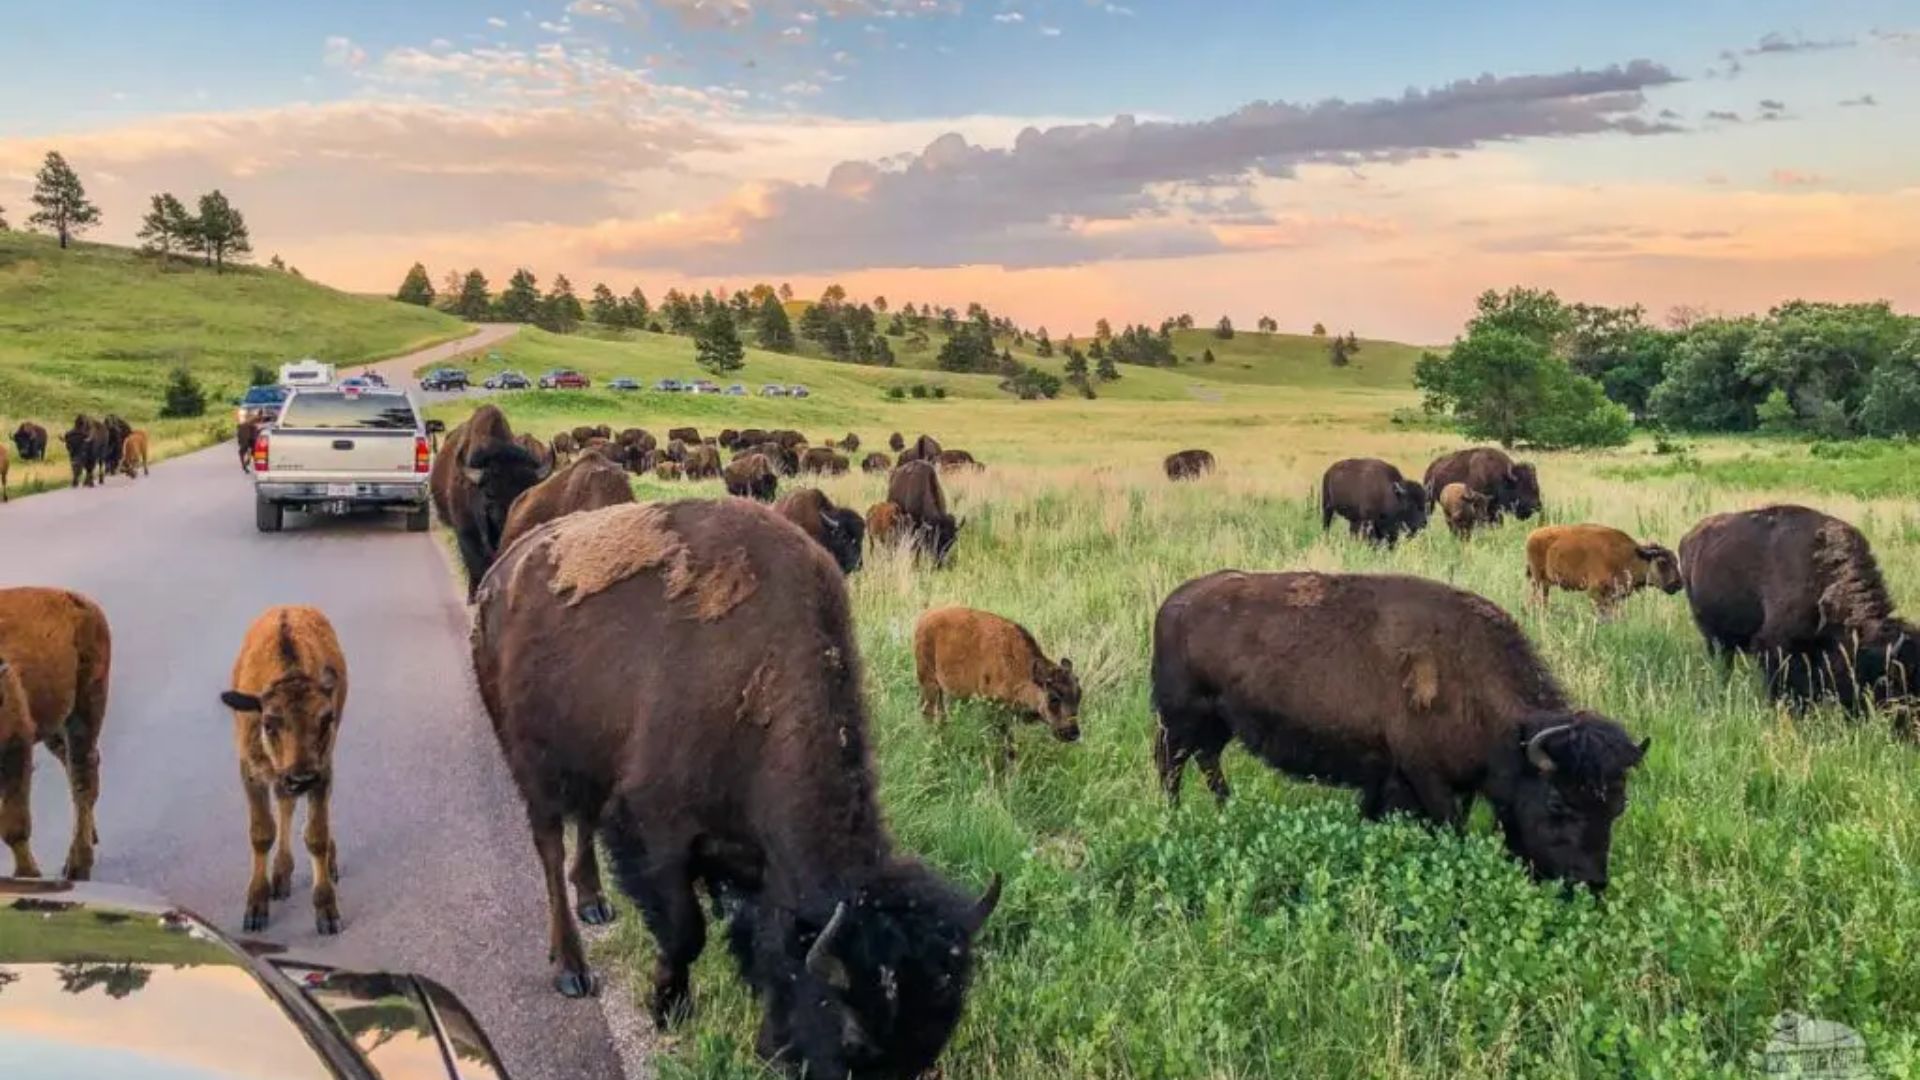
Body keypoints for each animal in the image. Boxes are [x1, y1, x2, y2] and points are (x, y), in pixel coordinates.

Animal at [471, 500, 999, 1079]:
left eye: (935, 1040)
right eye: (852, 1034)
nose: (788, 1059)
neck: (759, 684)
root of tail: (499, 574)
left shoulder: (749, 858)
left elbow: (755, 936)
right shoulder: (653, 830)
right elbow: (686, 930)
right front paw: (669, 1007)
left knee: (581, 826)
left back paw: (594, 903)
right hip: (530, 765)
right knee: (548, 847)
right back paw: (571, 967)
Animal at [1153, 571, 1647, 889]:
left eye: (1618, 806)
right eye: (1558, 802)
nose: (1591, 884)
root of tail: (1175, 602)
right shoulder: (1426, 779)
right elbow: (1450, 827)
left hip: (1217, 724)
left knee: (1207, 760)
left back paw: (1225, 808)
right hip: (1181, 720)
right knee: (1172, 766)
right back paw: (1175, 817)